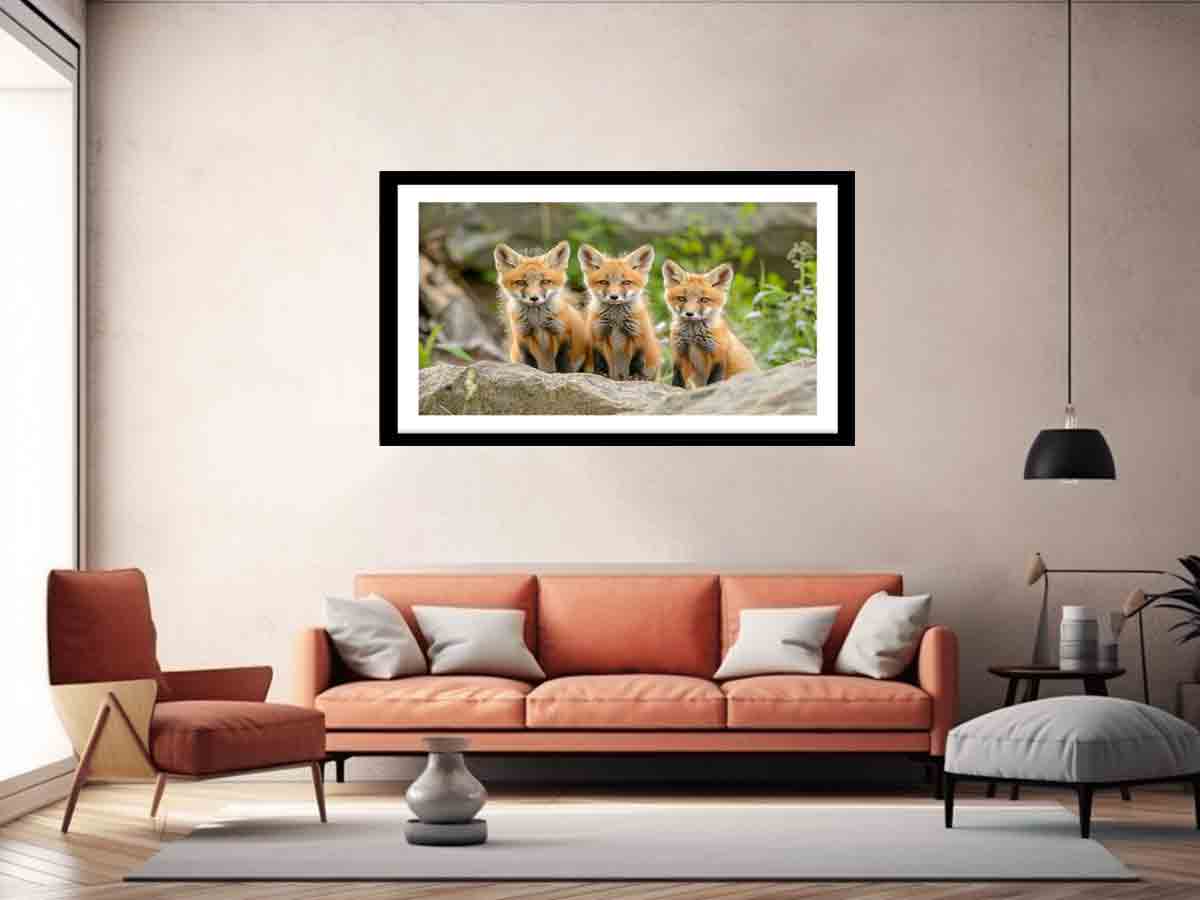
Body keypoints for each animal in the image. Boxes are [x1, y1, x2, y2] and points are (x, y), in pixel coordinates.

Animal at [495, 241, 590, 373]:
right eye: (521, 282)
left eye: (545, 281)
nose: (534, 298)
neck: (537, 321)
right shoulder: (522, 337)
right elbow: (529, 362)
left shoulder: (562, 333)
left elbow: (563, 362)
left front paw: (563, 374)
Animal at [578, 244, 661, 381]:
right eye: (604, 282)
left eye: (626, 282)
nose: (614, 297)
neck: (616, 320)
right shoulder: (597, 335)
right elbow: (600, 360)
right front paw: (601, 373)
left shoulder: (639, 336)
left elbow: (637, 361)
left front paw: (636, 376)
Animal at [662, 259, 760, 388]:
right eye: (682, 298)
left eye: (704, 300)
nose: (689, 314)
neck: (693, 336)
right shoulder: (680, 354)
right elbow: (677, 381)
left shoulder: (718, 356)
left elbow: (714, 381)